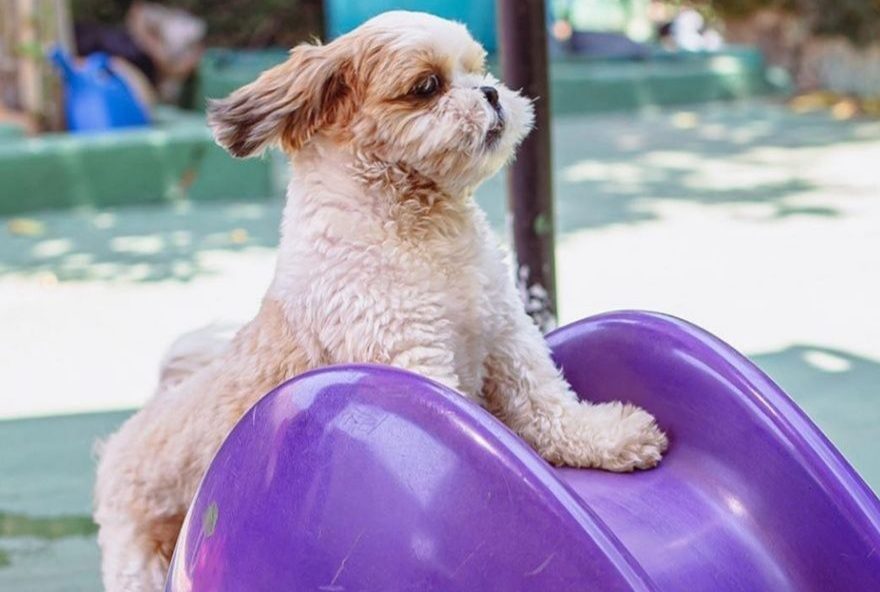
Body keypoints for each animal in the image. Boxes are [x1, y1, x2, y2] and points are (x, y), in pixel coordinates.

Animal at [94, 11, 668, 588]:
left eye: (478, 68)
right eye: (427, 87)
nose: (489, 92)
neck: (419, 228)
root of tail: (126, 436)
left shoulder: (507, 334)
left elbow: (548, 401)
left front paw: (608, 438)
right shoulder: (412, 356)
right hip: (139, 561)